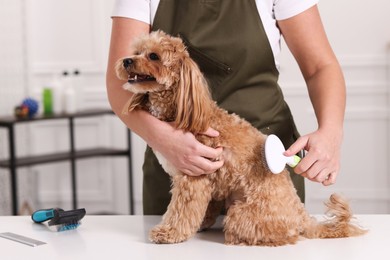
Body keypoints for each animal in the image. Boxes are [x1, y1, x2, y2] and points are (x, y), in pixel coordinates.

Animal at [115, 30, 366, 246]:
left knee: (284, 235)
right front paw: (199, 224)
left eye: (153, 56)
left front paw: (168, 232)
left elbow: (181, 210)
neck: (180, 110)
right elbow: (204, 207)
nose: (126, 61)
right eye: (136, 51)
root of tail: (301, 215)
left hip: (242, 214)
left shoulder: (193, 178)